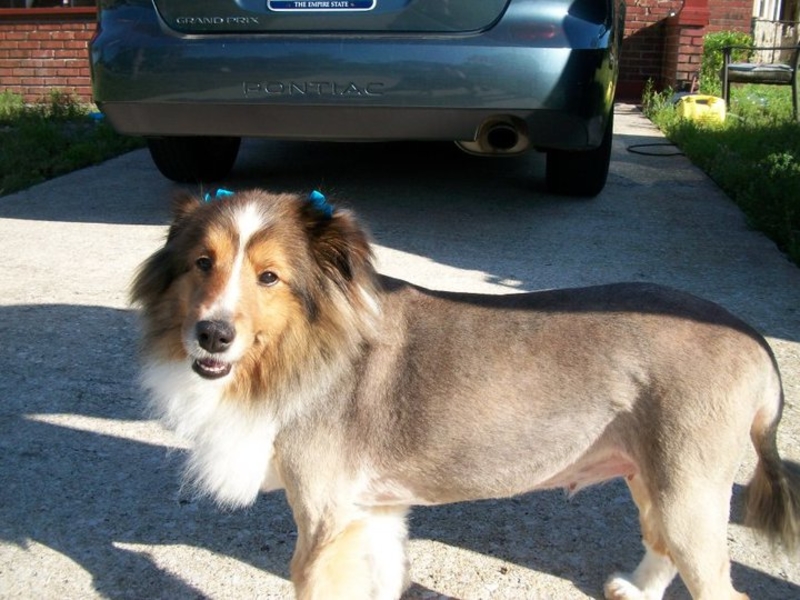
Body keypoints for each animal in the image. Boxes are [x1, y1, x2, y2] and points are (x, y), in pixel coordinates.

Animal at [134, 189, 796, 600]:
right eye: (201, 263)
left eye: (269, 276)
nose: (212, 334)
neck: (309, 345)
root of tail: (756, 344)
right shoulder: (372, 515)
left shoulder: (326, 524)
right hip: (651, 475)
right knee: (661, 545)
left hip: (689, 492)